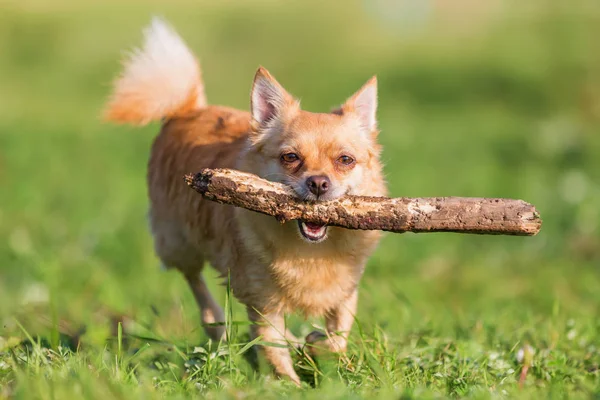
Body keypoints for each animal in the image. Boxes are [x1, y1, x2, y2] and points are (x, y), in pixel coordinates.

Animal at [102, 18, 384, 384]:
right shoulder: (263, 302)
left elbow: (335, 339)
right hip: (178, 243)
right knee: (199, 289)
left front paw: (316, 349)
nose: (319, 183)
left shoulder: (345, 292)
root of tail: (189, 109)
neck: (310, 252)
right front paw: (295, 384)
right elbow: (274, 352)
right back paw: (218, 323)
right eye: (290, 157)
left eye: (345, 160)